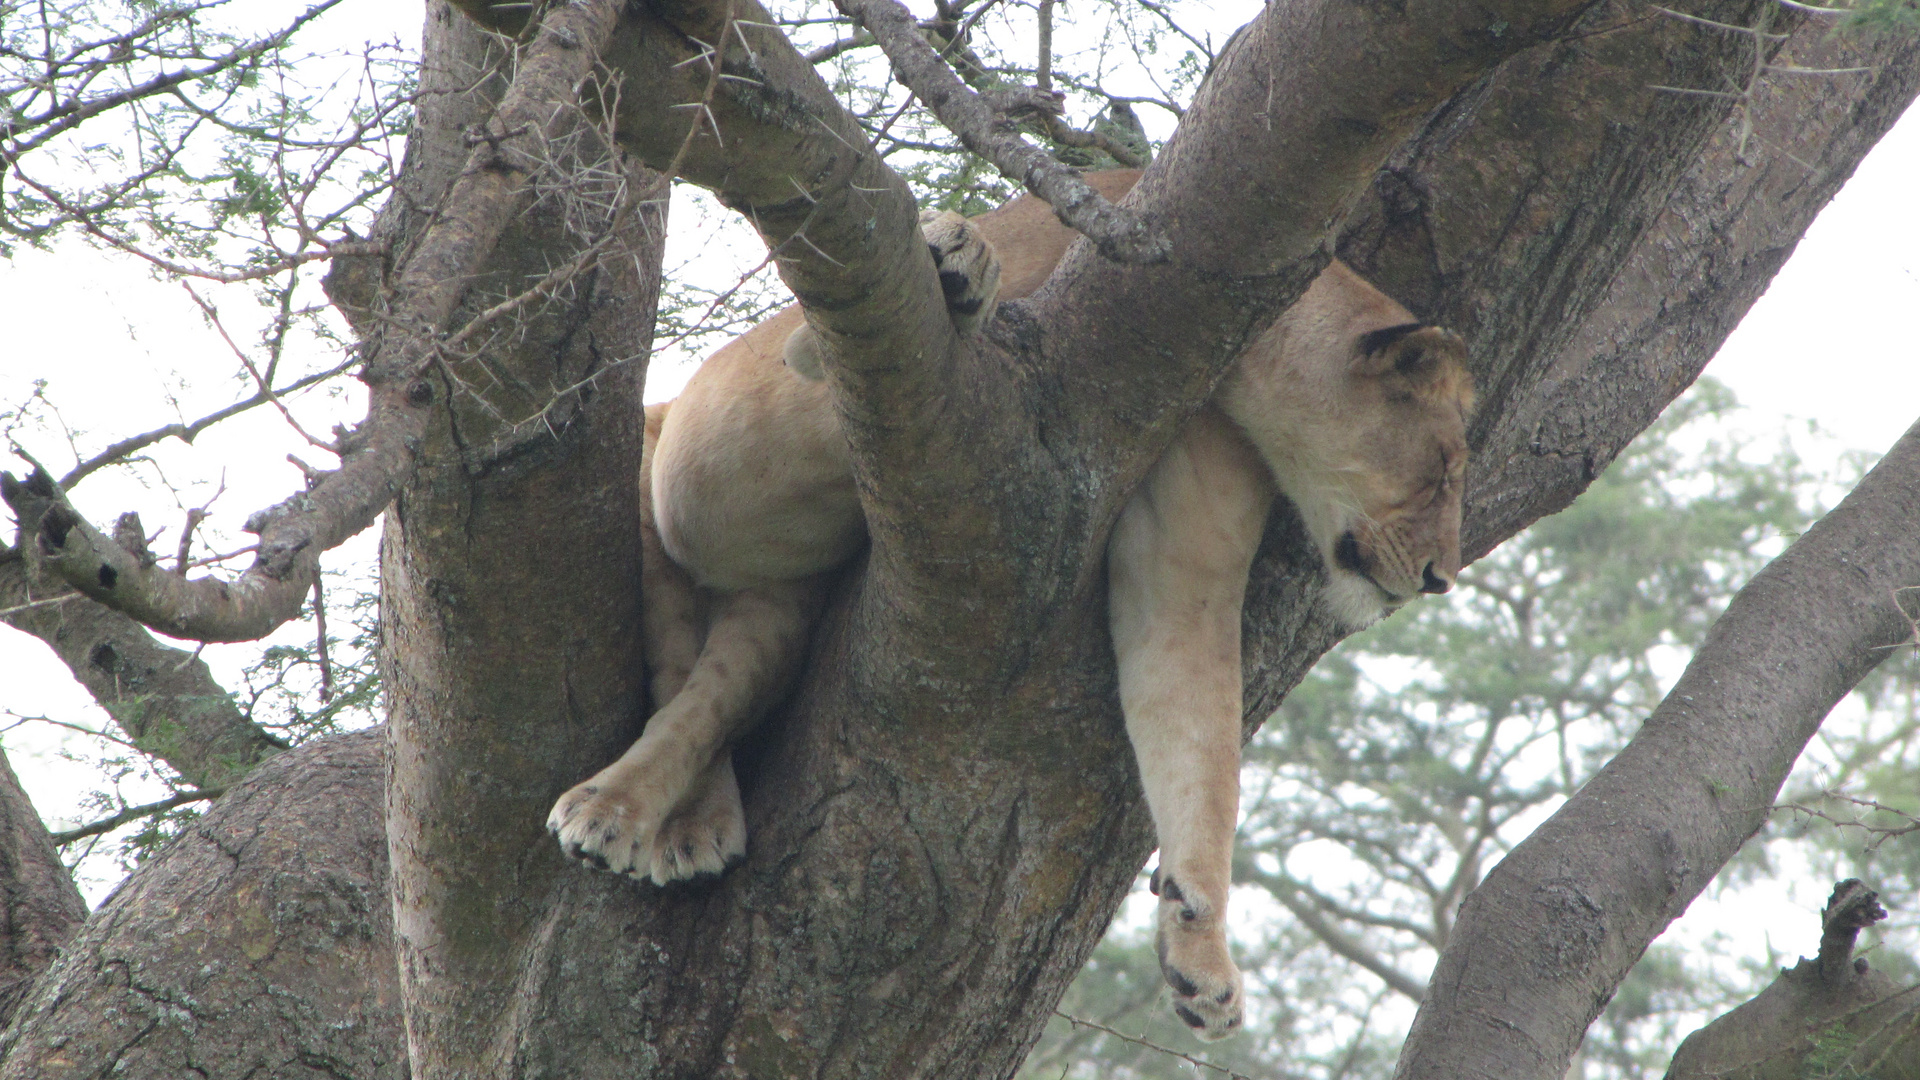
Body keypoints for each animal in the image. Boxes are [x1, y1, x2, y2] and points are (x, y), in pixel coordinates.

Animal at [545, 168, 1466, 1037]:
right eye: (1446, 467)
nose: (1442, 578)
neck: (1240, 364)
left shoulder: (1190, 542)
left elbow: (1199, 741)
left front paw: (1201, 950)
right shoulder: (741, 442)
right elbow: (831, 353)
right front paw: (949, 267)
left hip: (779, 608)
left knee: (723, 681)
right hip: (668, 456)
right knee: (677, 653)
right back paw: (635, 817)